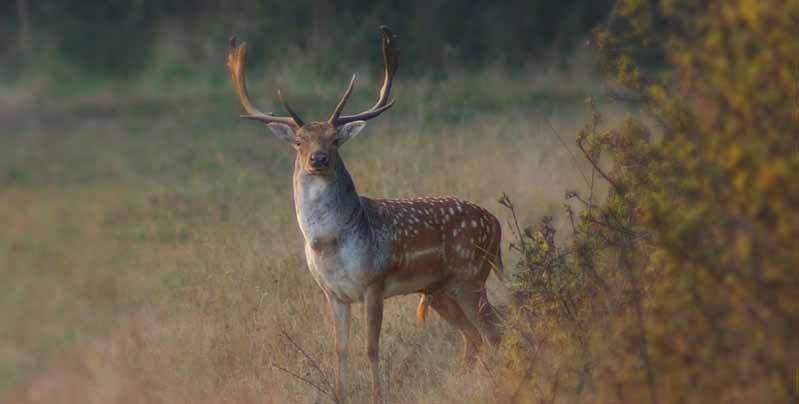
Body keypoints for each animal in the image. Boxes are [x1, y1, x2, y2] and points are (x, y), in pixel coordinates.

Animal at [228, 26, 506, 402]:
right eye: (299, 141)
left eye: (335, 140)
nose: (318, 159)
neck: (328, 243)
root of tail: (497, 223)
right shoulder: (332, 293)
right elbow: (340, 349)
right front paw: (339, 394)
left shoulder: (374, 282)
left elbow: (371, 347)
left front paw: (378, 394)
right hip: (439, 288)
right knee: (473, 336)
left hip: (471, 273)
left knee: (495, 331)